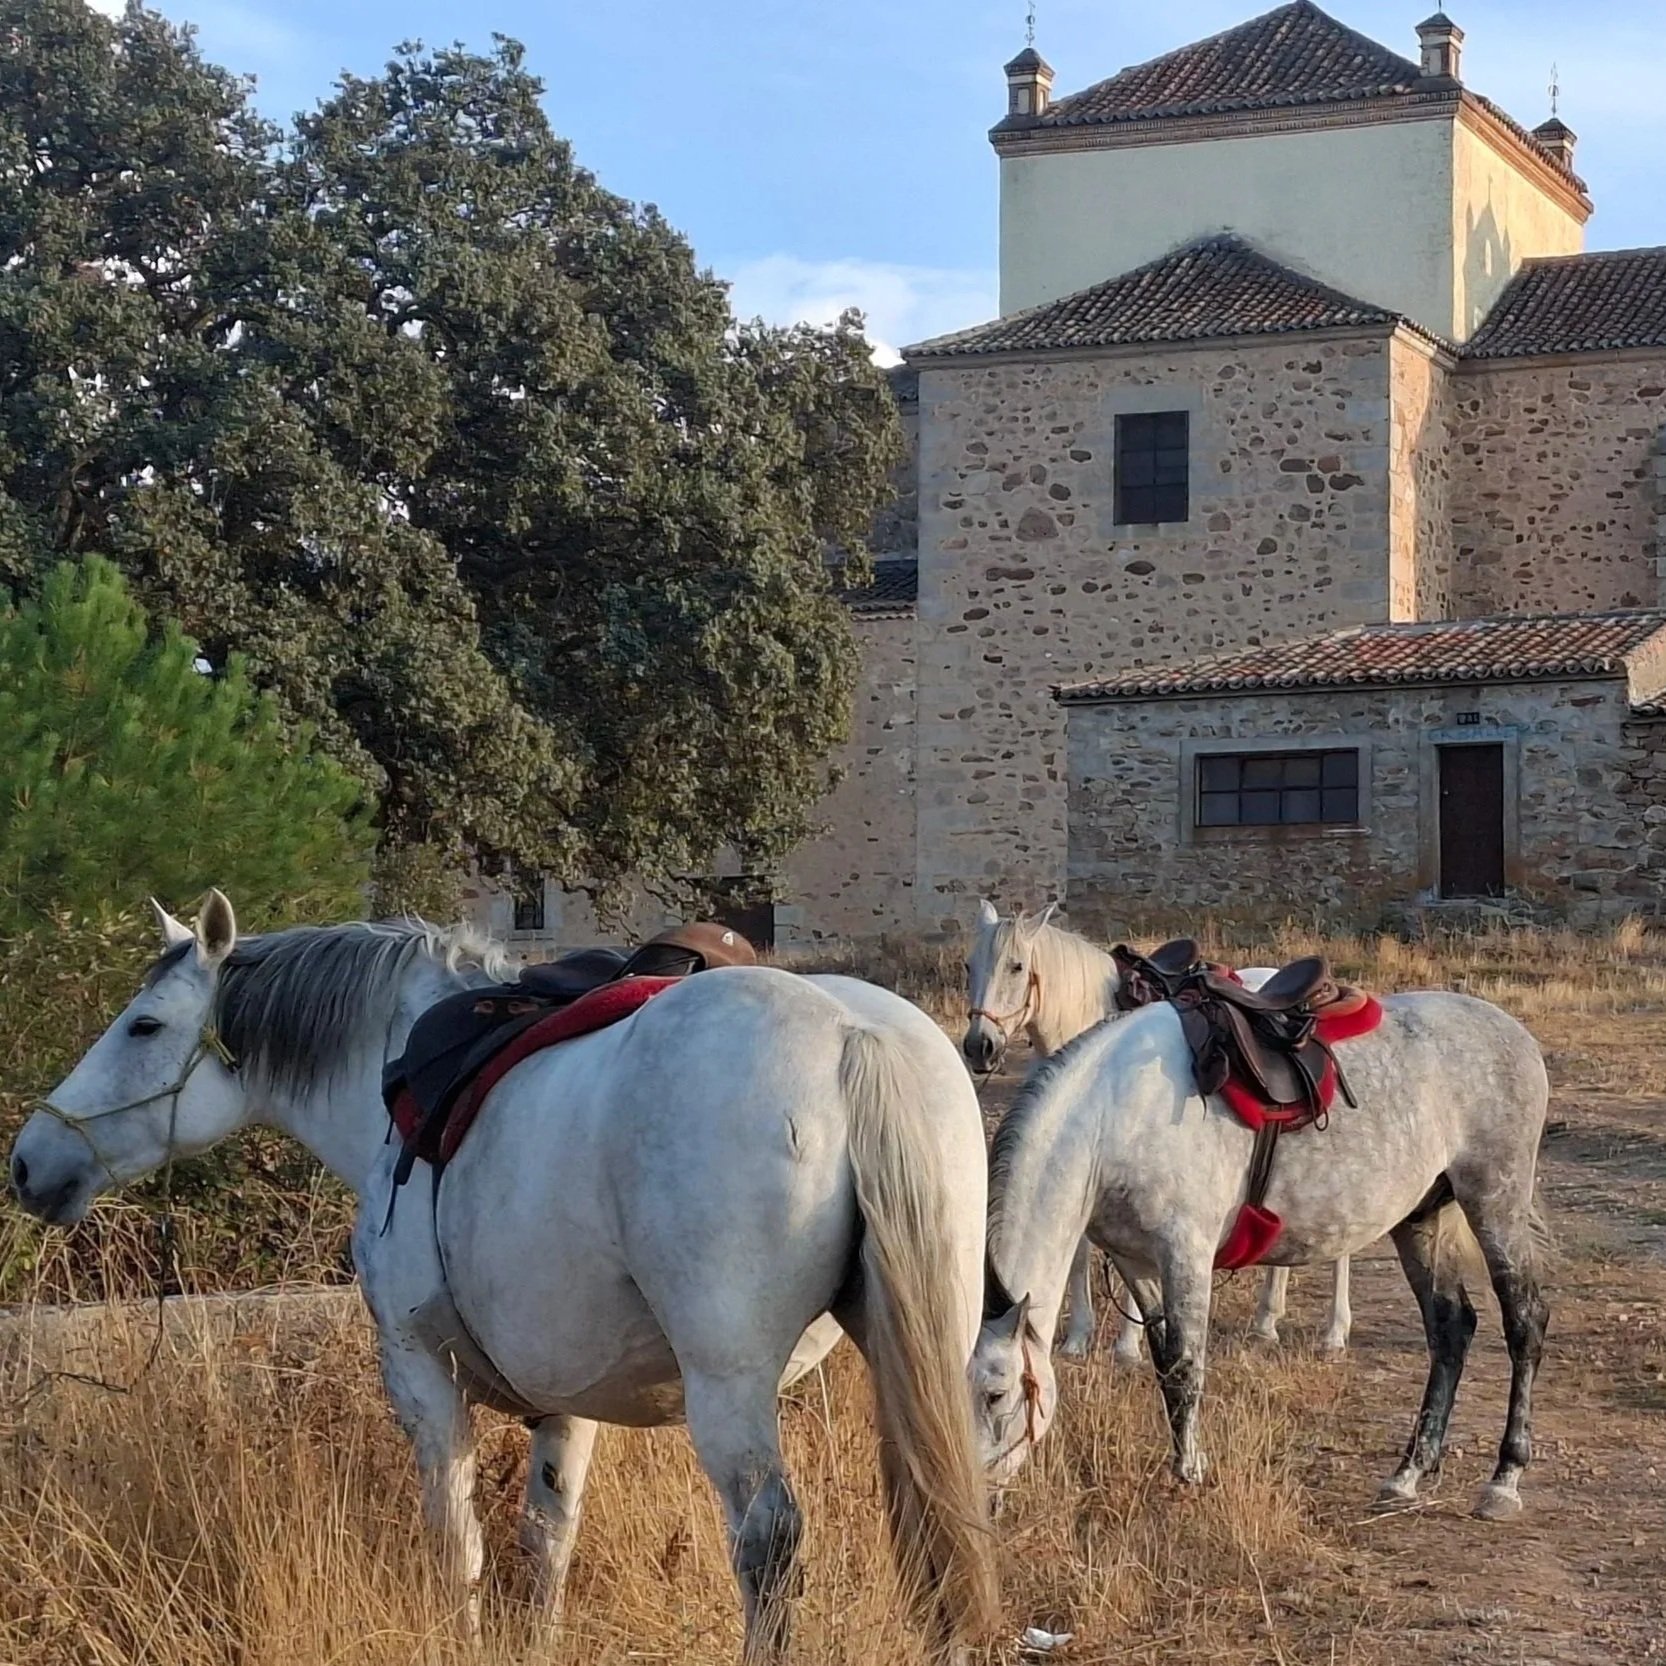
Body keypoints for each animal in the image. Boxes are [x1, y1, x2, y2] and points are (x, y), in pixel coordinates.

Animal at [9, 894, 998, 1663]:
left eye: (144, 1026)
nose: (29, 1161)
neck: (393, 1071)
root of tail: (850, 1035)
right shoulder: (568, 1398)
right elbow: (545, 1542)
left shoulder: (418, 1373)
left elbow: (460, 1547)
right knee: (943, 1511)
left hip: (731, 1388)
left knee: (769, 1545)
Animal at [962, 901, 1352, 1359]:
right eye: (970, 965)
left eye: (1017, 966)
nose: (979, 1047)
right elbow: (1079, 1252)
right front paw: (1078, 1336)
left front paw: (1128, 1345)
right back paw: (1265, 1321)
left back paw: (1334, 1331)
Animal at [970, 974, 1551, 1522]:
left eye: (997, 1394)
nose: (980, 1500)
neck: (1113, 1114)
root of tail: (1517, 1035)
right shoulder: (1138, 1263)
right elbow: (1162, 1366)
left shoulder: (1187, 1255)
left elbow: (1185, 1368)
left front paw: (1189, 1474)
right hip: (1421, 1218)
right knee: (1450, 1328)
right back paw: (1408, 1473)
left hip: (1494, 1201)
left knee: (1524, 1321)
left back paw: (1504, 1480)